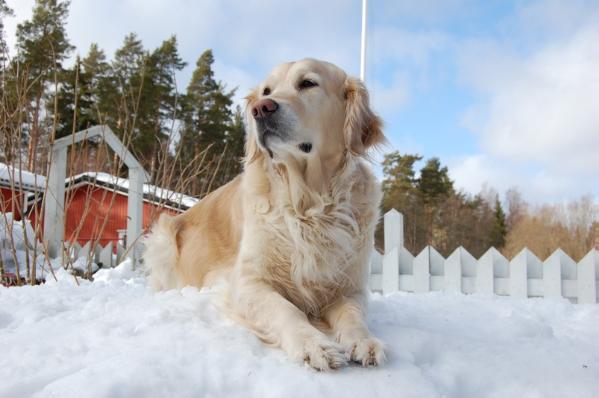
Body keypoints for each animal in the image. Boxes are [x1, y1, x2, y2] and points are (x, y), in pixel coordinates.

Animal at [146, 58, 390, 370]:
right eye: (266, 91)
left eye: (308, 83)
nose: (261, 109)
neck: (309, 202)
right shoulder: (248, 282)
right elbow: (286, 309)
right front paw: (314, 344)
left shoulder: (350, 288)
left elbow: (353, 315)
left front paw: (364, 341)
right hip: (162, 239)